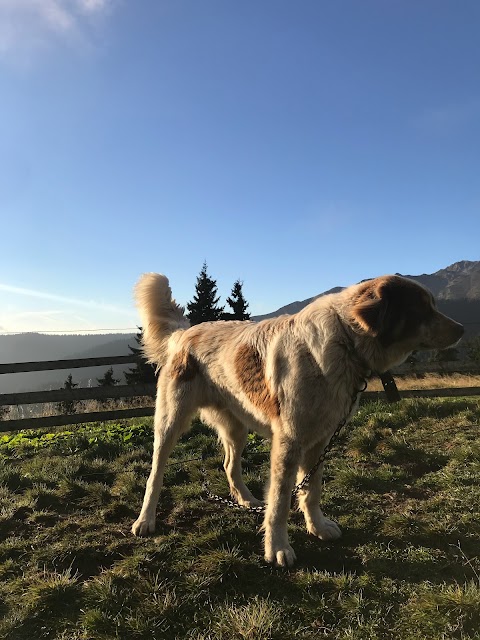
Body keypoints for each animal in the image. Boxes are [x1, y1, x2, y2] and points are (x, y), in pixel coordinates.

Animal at [129, 272, 464, 568]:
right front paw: (278, 548)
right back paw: (146, 520)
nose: (461, 329)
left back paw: (246, 500)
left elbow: (311, 490)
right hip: (171, 420)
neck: (345, 342)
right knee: (155, 473)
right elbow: (279, 502)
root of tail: (184, 333)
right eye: (422, 307)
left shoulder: (320, 440)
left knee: (229, 464)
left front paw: (318, 527)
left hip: (237, 426)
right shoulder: (289, 441)